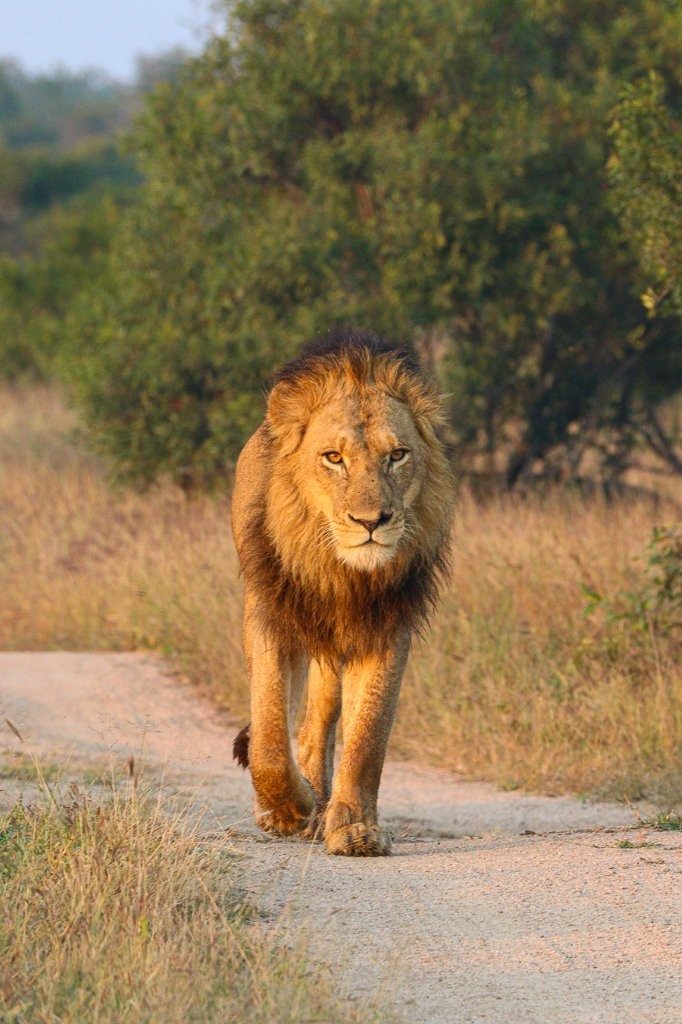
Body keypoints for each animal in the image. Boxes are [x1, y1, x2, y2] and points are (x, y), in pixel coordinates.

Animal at [231, 329, 455, 856]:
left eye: (398, 455)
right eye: (334, 458)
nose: (372, 522)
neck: (343, 575)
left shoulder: (389, 628)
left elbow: (367, 736)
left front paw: (354, 828)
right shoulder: (268, 615)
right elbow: (268, 733)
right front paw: (287, 809)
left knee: (319, 722)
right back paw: (305, 807)